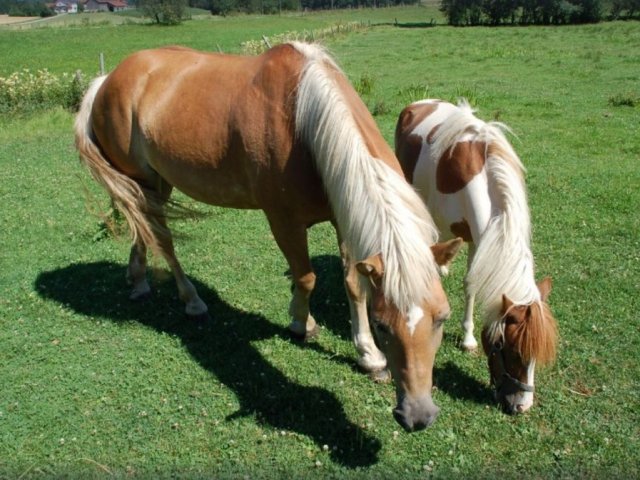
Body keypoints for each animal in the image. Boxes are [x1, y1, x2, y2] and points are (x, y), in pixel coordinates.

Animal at [74, 43, 462, 431]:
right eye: (383, 325)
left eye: (442, 317)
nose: (418, 415)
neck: (303, 122)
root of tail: (107, 79)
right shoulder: (283, 220)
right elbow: (306, 278)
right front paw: (301, 323)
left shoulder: (345, 214)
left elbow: (353, 284)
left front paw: (368, 356)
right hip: (144, 180)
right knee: (162, 239)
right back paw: (192, 301)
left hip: (154, 182)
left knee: (141, 228)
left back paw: (138, 280)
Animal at [395, 99, 558, 414]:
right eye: (511, 351)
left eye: (534, 357)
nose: (522, 406)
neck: (481, 175)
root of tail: (420, 102)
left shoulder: (477, 237)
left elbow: (471, 283)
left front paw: (468, 338)